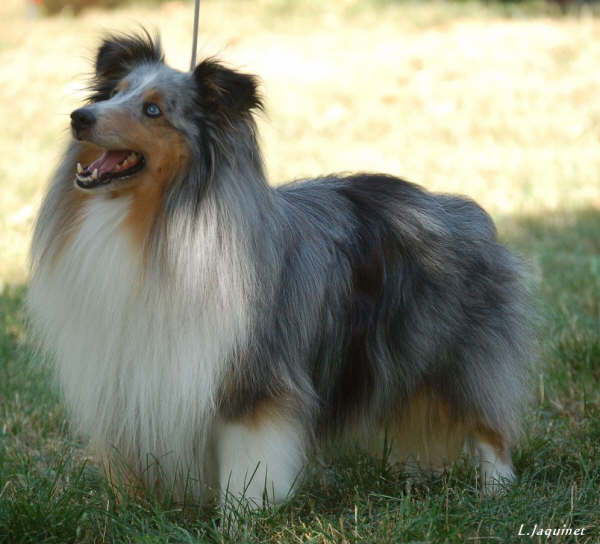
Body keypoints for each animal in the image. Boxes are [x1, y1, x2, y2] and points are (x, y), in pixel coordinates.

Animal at [28, 30, 536, 510]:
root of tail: (455, 208)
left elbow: (248, 461)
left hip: (456, 354)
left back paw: (497, 488)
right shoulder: (128, 374)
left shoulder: (252, 379)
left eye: (153, 110)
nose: (80, 117)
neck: (152, 223)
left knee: (486, 421)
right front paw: (132, 507)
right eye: (114, 94)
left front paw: (241, 515)